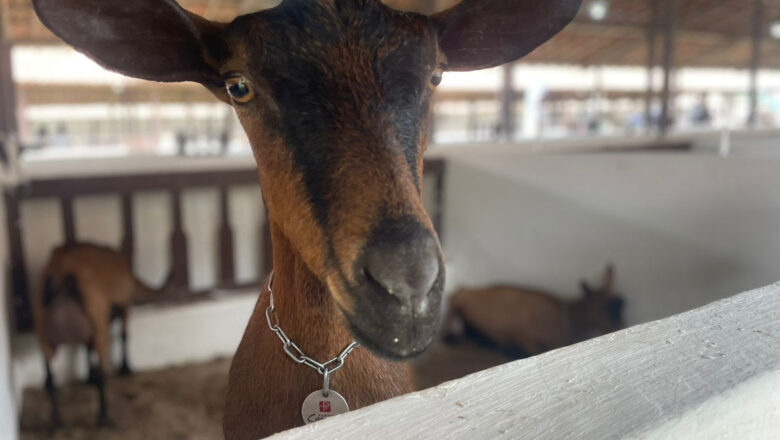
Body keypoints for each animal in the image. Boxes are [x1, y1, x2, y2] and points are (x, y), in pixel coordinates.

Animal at [33, 242, 165, 428]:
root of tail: (61, 272)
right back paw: (103, 418)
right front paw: (126, 368)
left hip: (43, 334)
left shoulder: (91, 332)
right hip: (99, 322)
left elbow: (87, 347)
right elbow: (124, 335)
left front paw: (89, 376)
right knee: (103, 375)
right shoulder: (123, 309)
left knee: (50, 380)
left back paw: (57, 421)